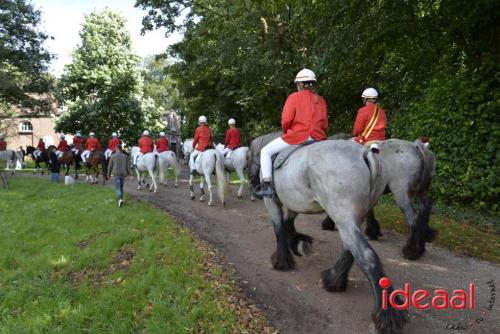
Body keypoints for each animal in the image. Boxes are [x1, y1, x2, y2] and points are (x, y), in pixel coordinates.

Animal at [258, 140, 406, 334]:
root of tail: (365, 153)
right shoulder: (295, 202)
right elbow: (288, 223)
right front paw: (298, 244)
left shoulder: (272, 201)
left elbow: (279, 228)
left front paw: (282, 260)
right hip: (351, 217)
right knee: (350, 249)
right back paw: (332, 280)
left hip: (342, 215)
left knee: (366, 256)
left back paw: (386, 317)